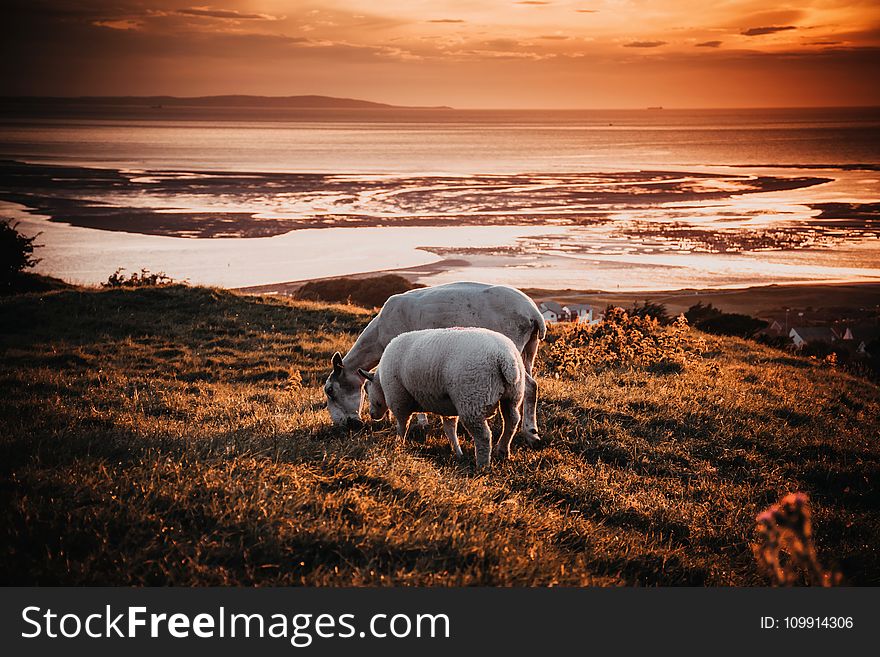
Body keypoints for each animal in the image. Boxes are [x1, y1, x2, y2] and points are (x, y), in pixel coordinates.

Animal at [356, 328, 524, 466]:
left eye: (366, 389)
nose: (372, 415)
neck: (381, 381)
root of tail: (504, 357)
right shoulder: (447, 406)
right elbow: (450, 430)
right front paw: (457, 452)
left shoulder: (399, 399)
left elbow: (402, 425)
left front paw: (398, 445)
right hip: (513, 395)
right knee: (512, 421)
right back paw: (503, 451)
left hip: (472, 399)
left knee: (483, 436)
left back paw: (483, 465)